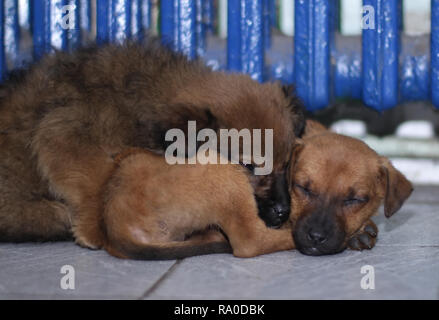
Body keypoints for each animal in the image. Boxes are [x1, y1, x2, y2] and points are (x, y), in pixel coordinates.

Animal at [0, 41, 304, 248]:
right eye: (248, 166)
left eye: (287, 163)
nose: (283, 212)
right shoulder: (63, 133)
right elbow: (95, 182)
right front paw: (94, 230)